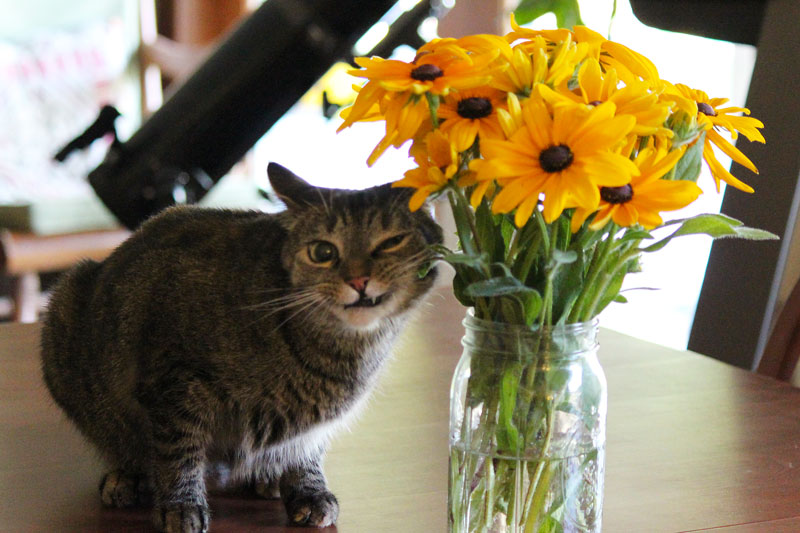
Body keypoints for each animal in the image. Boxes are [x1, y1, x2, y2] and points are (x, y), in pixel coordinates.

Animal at [39, 164, 444, 528]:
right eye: (323, 252)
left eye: (390, 242)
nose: (359, 280)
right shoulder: (174, 381)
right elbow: (179, 452)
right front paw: (181, 505)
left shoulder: (314, 425)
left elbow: (307, 450)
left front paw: (308, 490)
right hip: (66, 309)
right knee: (124, 445)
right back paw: (128, 478)